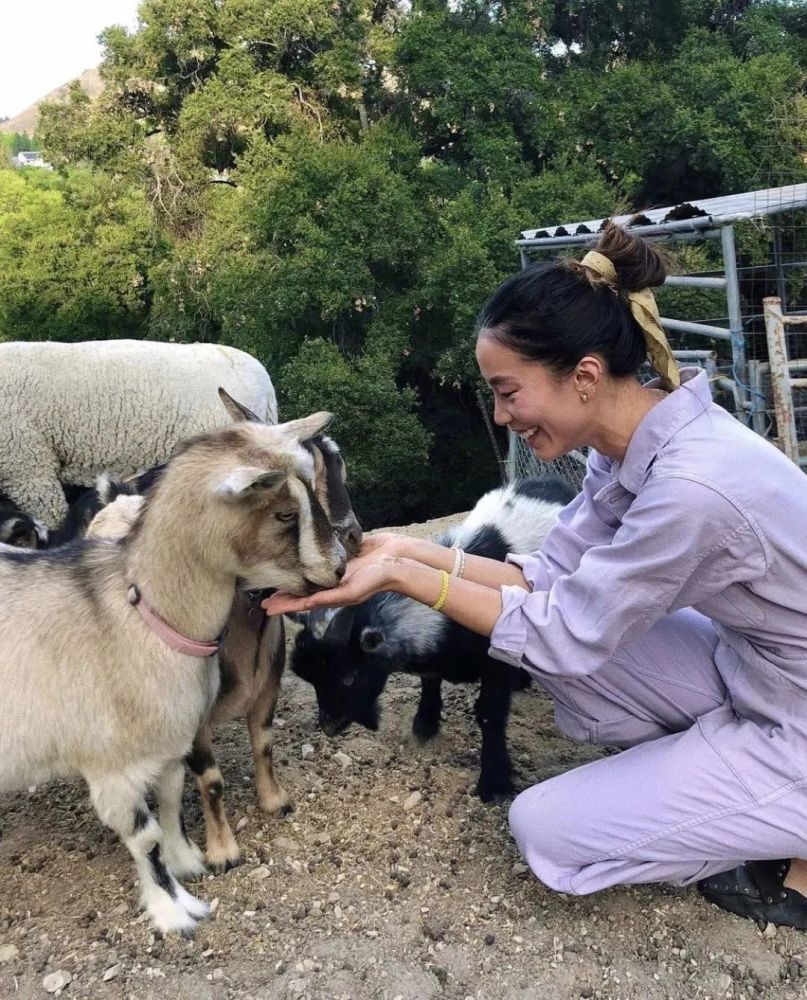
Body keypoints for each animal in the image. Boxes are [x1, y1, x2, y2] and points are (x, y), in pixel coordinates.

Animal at [0, 394, 344, 932]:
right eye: (285, 514)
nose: (342, 567)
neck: (140, 617)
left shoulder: (169, 744)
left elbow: (171, 805)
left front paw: (190, 863)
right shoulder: (112, 766)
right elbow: (148, 836)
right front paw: (175, 910)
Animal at [290, 478, 576, 804]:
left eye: (349, 677)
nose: (328, 726)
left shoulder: (496, 659)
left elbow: (489, 713)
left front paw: (494, 781)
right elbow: (430, 679)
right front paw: (425, 723)